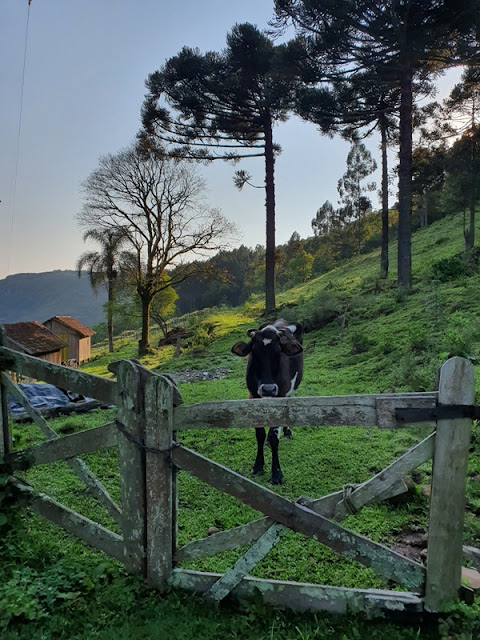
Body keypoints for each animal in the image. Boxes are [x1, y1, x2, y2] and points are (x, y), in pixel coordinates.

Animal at [230, 320, 304, 484]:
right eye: (254, 353)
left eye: (278, 352)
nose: (268, 389)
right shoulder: (254, 397)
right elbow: (260, 434)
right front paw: (258, 466)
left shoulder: (280, 396)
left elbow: (274, 436)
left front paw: (276, 473)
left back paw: (287, 431)